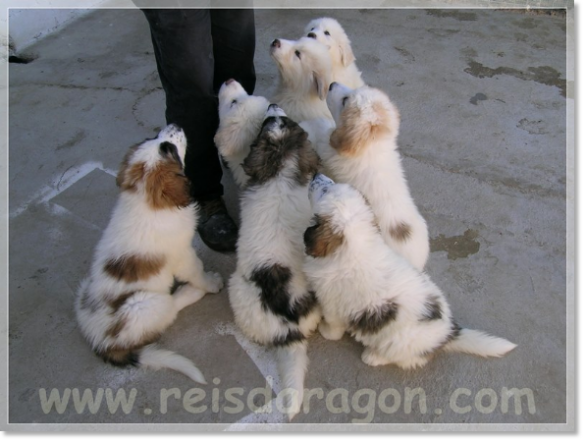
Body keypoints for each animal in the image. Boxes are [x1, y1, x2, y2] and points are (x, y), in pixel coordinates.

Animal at [75, 123, 224, 384]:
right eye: (169, 149)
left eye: (151, 138)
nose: (174, 125)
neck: (147, 202)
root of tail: (100, 343)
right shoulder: (182, 255)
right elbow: (196, 270)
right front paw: (210, 283)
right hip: (144, 304)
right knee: (169, 309)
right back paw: (190, 293)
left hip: (82, 290)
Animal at [304, 174, 512, 372]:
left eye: (324, 190)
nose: (315, 175)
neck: (354, 247)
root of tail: (448, 334)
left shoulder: (332, 303)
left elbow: (333, 324)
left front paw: (325, 331)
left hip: (398, 342)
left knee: (407, 359)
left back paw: (372, 356)